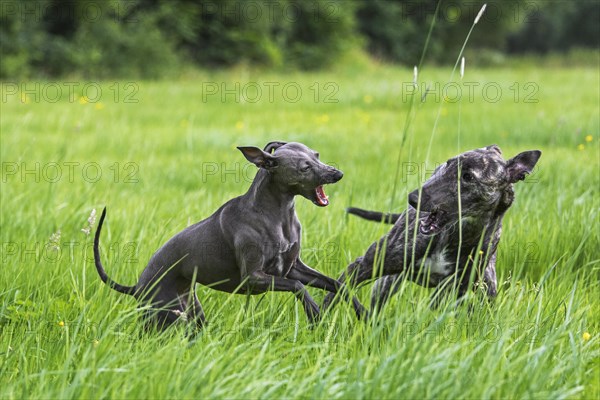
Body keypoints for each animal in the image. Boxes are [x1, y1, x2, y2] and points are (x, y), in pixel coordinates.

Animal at [94, 142, 366, 330]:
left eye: (316, 155)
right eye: (304, 167)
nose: (337, 174)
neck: (278, 215)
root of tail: (136, 286)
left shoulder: (293, 268)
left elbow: (339, 284)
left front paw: (363, 312)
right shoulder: (254, 278)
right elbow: (299, 288)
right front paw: (315, 312)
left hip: (191, 313)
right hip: (162, 317)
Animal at [326, 145, 540, 316]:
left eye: (468, 176)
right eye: (447, 164)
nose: (413, 199)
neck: (456, 235)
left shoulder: (452, 289)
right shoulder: (365, 265)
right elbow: (334, 292)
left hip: (486, 289)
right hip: (387, 282)